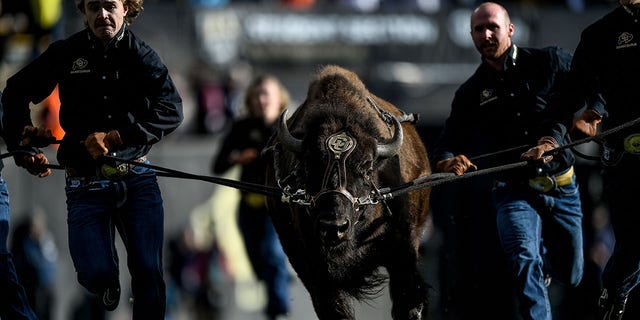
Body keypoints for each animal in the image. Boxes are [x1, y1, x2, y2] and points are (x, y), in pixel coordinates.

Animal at [262, 65, 432, 320]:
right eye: (308, 165)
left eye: (367, 167)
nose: (334, 226)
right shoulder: (312, 267)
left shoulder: (403, 250)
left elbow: (408, 302)